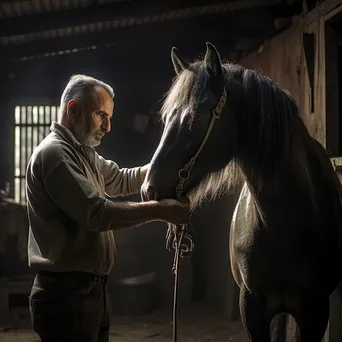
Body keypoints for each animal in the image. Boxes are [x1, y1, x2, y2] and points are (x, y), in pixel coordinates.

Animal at [140, 43, 342, 342]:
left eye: (194, 117)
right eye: (166, 119)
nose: (148, 189)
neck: (284, 221)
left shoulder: (315, 311)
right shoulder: (251, 308)